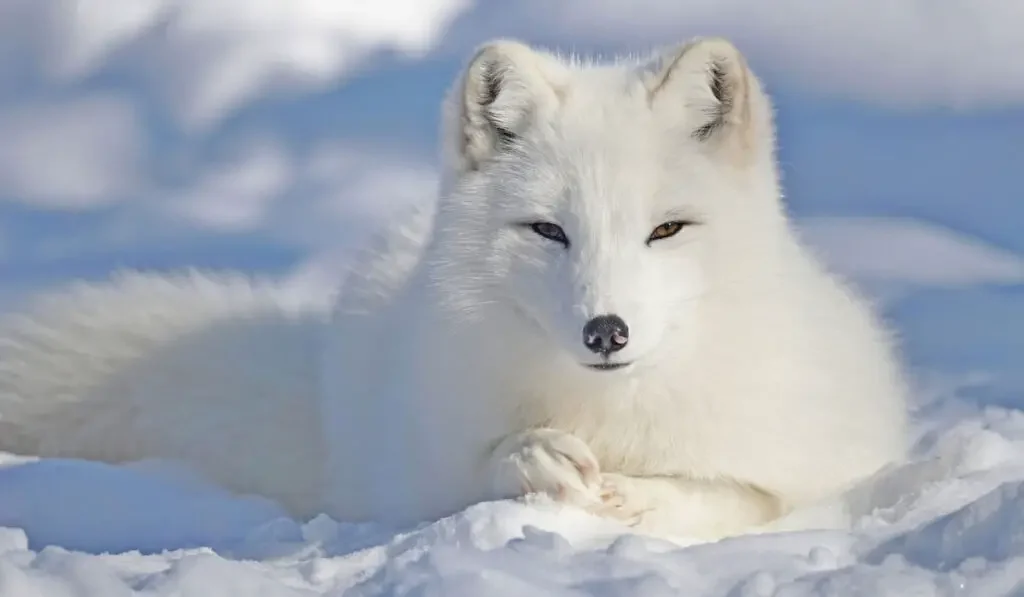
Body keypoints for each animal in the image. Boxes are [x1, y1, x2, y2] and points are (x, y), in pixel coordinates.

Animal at [0, 38, 909, 540]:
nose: (606, 331)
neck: (608, 414)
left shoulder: (816, 464)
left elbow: (734, 495)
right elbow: (485, 464)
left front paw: (636, 496)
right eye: (548, 230)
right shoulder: (430, 470)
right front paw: (540, 458)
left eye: (666, 230)